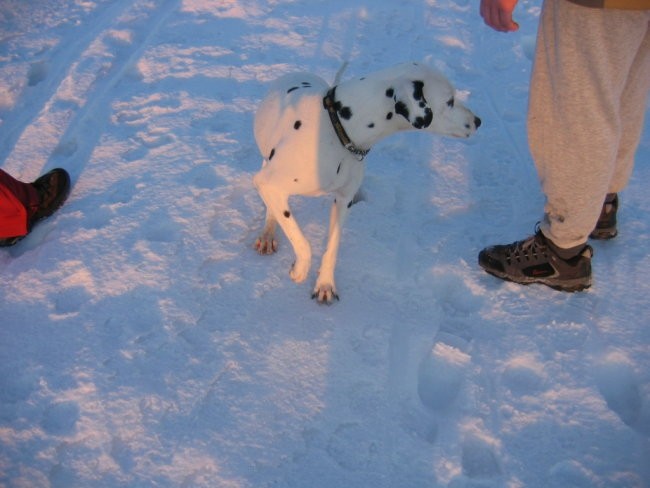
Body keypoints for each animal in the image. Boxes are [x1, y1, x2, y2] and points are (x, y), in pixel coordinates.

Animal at [251, 63, 478, 304]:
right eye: (450, 101)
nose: (478, 121)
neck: (337, 127)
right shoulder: (268, 183)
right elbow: (301, 240)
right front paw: (300, 269)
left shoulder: (343, 202)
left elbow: (332, 247)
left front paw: (325, 284)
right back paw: (267, 233)